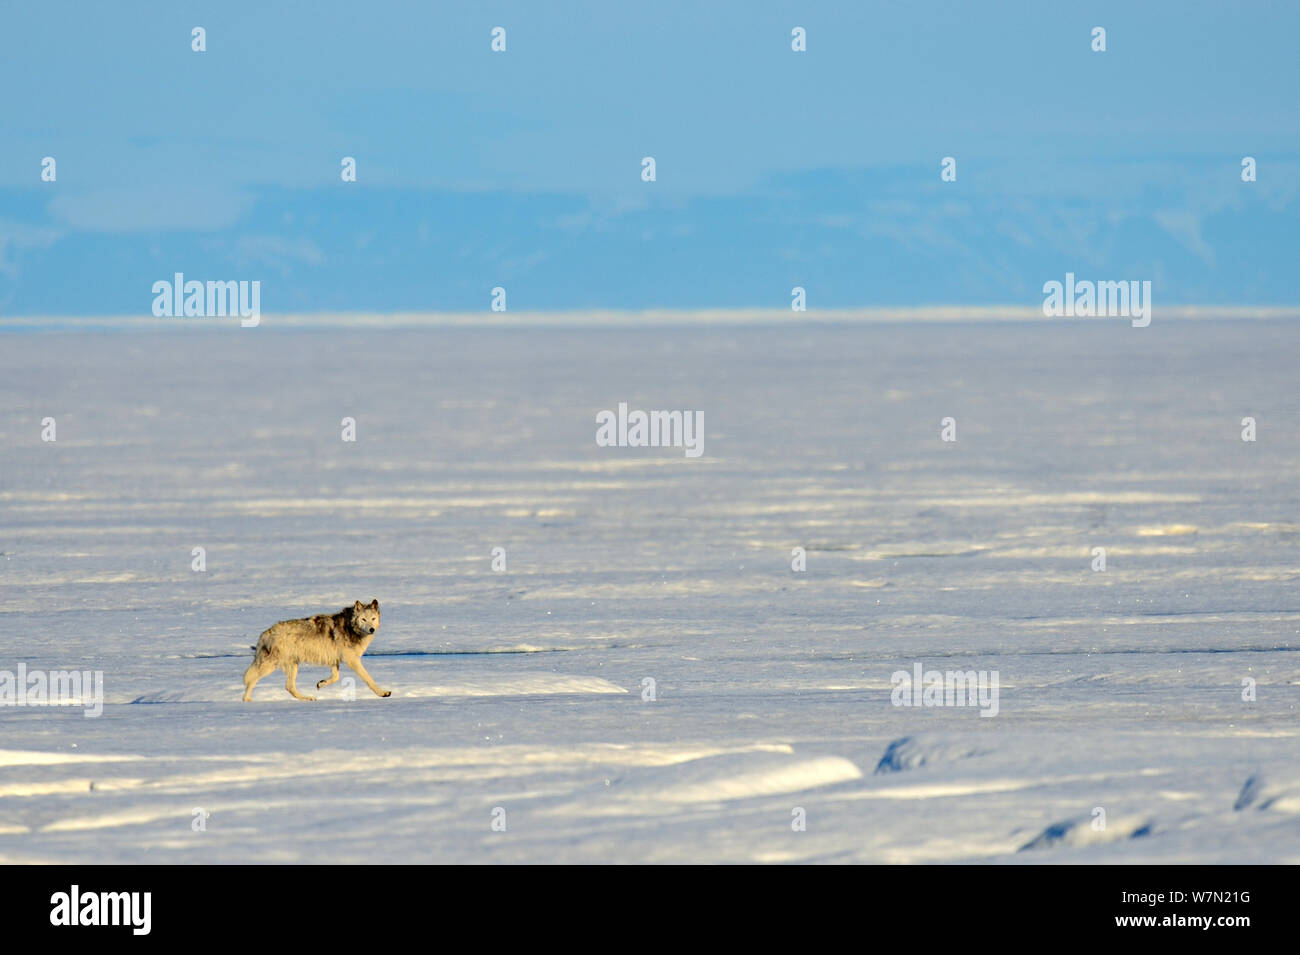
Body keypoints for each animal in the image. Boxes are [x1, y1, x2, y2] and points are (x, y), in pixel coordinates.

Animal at [241, 600, 387, 706]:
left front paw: (321, 683)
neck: (350, 628)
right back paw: (246, 700)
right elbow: (368, 679)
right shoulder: (352, 661)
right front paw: (383, 693)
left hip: (293, 666)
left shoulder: (334, 661)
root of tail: (266, 633)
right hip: (271, 666)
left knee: (289, 687)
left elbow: (336, 677)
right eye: (363, 619)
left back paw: (307, 698)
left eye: (373, 618)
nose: (372, 629)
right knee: (251, 679)